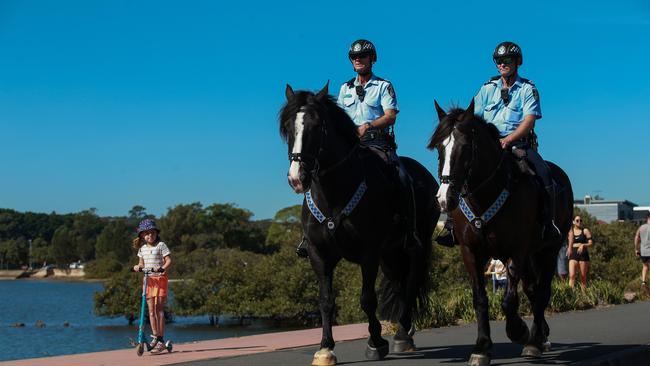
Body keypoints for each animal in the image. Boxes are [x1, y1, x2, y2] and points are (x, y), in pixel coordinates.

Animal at [280, 83, 440, 366]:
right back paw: (404, 330)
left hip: (415, 246)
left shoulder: (369, 253)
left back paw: (402, 334)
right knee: (399, 285)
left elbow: (367, 299)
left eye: (316, 126)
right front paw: (325, 348)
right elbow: (325, 301)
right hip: (390, 254)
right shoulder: (319, 254)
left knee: (410, 284)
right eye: (288, 127)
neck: (333, 195)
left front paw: (376, 342)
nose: (297, 178)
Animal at [428, 101, 568, 366]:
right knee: (532, 290)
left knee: (541, 292)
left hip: (548, 250)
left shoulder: (518, 250)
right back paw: (540, 336)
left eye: (465, 148)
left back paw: (534, 341)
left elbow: (509, 300)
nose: (443, 199)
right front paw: (482, 347)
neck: (484, 196)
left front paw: (518, 331)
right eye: (440, 148)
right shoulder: (471, 252)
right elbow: (480, 299)